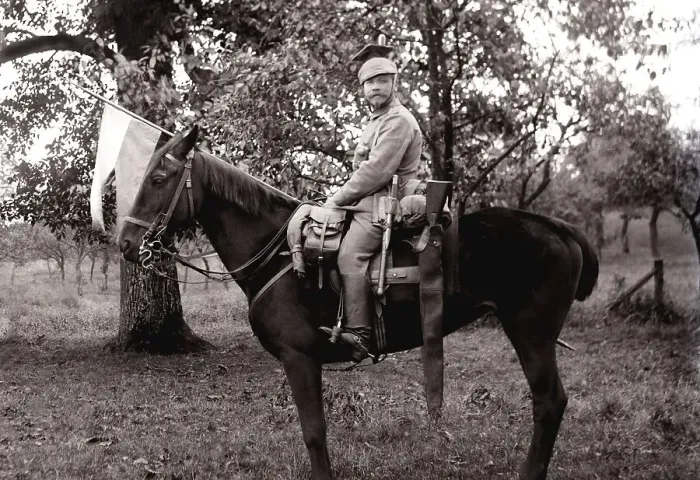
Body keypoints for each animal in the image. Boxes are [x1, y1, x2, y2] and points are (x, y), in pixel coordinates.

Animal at [117, 126, 599, 480]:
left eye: (158, 180)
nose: (125, 243)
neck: (278, 251)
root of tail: (555, 225)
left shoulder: (299, 357)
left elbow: (314, 432)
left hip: (530, 333)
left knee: (549, 402)